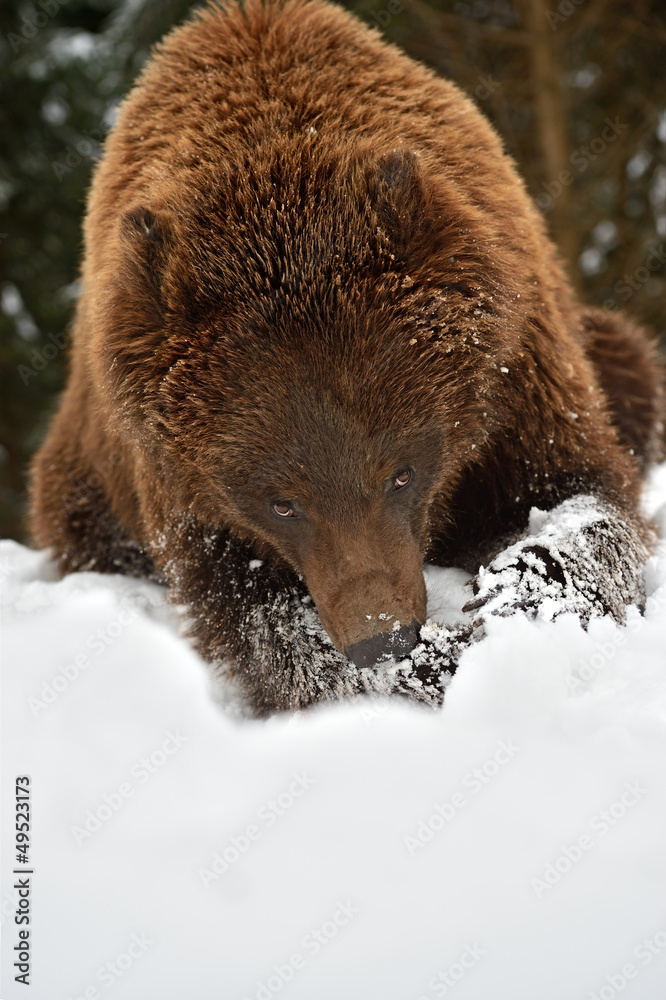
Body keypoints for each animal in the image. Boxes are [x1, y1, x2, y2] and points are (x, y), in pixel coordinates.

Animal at [29, 0, 664, 715]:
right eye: (282, 502)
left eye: (401, 473)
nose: (381, 637)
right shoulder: (183, 484)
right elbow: (257, 616)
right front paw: (422, 668)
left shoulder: (515, 384)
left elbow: (578, 495)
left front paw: (515, 595)